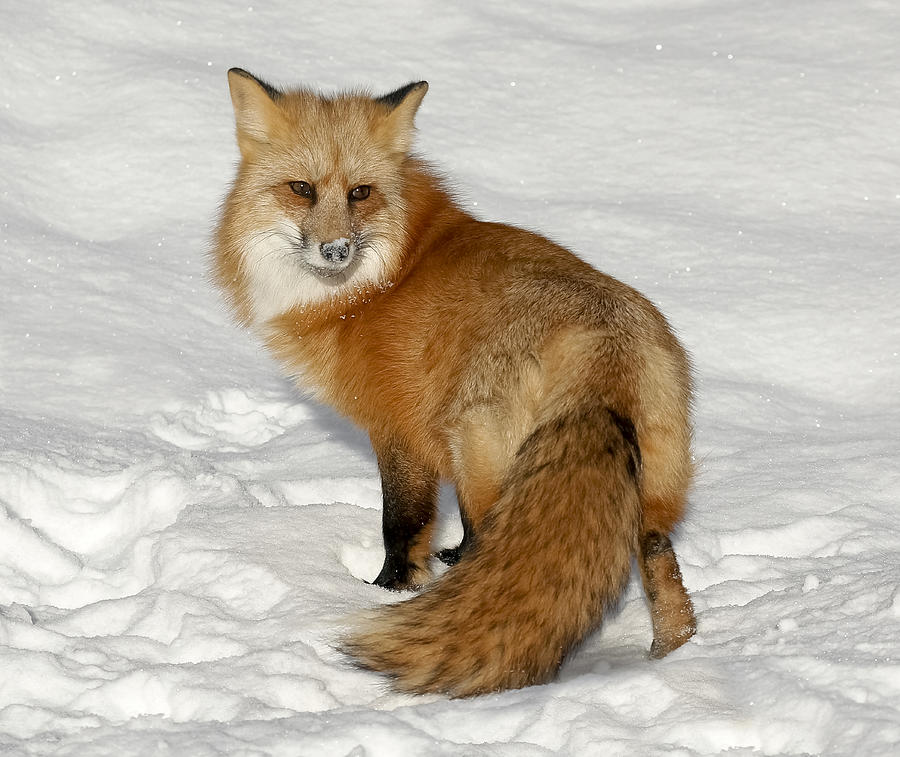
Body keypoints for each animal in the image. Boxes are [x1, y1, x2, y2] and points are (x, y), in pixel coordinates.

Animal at [214, 71, 700, 696]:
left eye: (361, 193)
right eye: (301, 189)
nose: (336, 250)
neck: (384, 281)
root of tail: (603, 343)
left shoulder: (399, 429)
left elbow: (402, 525)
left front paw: (390, 590)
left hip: (478, 458)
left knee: (489, 546)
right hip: (652, 492)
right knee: (665, 578)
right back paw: (674, 657)